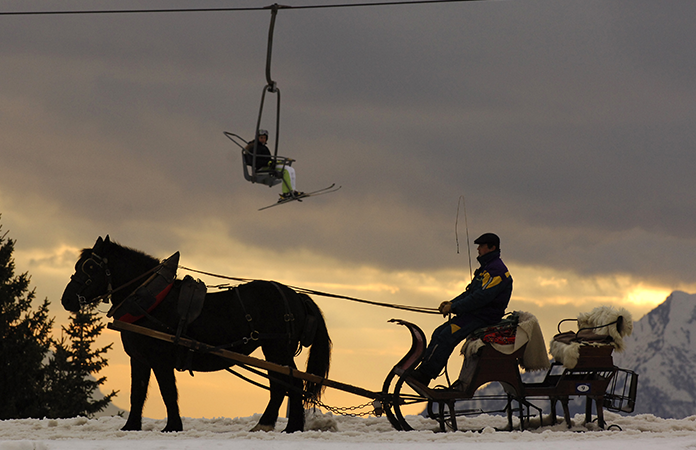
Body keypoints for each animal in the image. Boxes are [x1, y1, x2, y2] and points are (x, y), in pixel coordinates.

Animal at [60, 236, 332, 432]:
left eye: (90, 267)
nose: (67, 300)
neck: (150, 301)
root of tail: (296, 296)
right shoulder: (139, 359)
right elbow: (137, 393)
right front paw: (130, 427)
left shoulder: (161, 360)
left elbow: (168, 392)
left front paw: (172, 427)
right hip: (274, 351)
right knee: (281, 385)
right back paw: (270, 426)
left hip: (277, 348)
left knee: (290, 383)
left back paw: (288, 428)